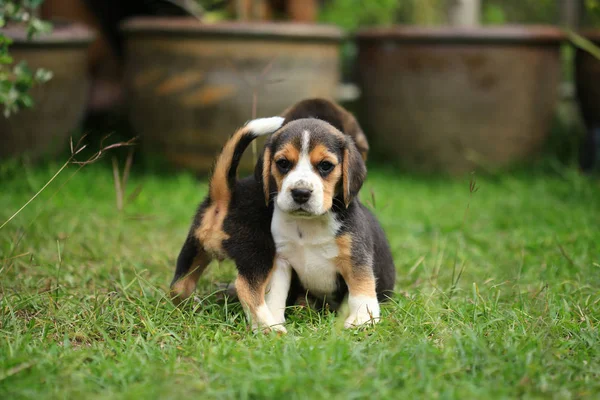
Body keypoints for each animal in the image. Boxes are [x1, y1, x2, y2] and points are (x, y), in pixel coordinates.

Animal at [256, 118, 394, 328]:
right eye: (283, 163)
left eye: (325, 165)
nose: (301, 193)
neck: (309, 224)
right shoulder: (281, 259)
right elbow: (275, 293)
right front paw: (272, 320)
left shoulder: (355, 256)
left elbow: (361, 286)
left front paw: (362, 318)